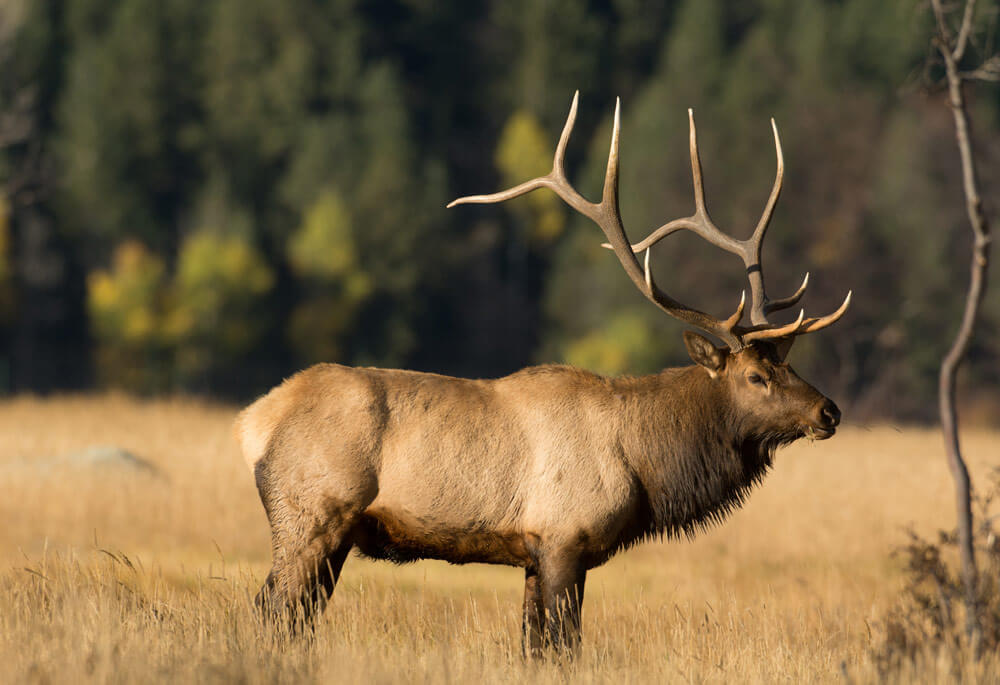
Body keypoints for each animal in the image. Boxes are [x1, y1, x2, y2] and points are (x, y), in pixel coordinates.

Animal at [236, 91, 852, 652]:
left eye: (788, 362)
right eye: (755, 377)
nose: (829, 411)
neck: (643, 462)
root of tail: (254, 421)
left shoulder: (533, 554)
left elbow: (534, 647)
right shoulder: (563, 540)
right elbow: (561, 646)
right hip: (311, 516)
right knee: (272, 613)